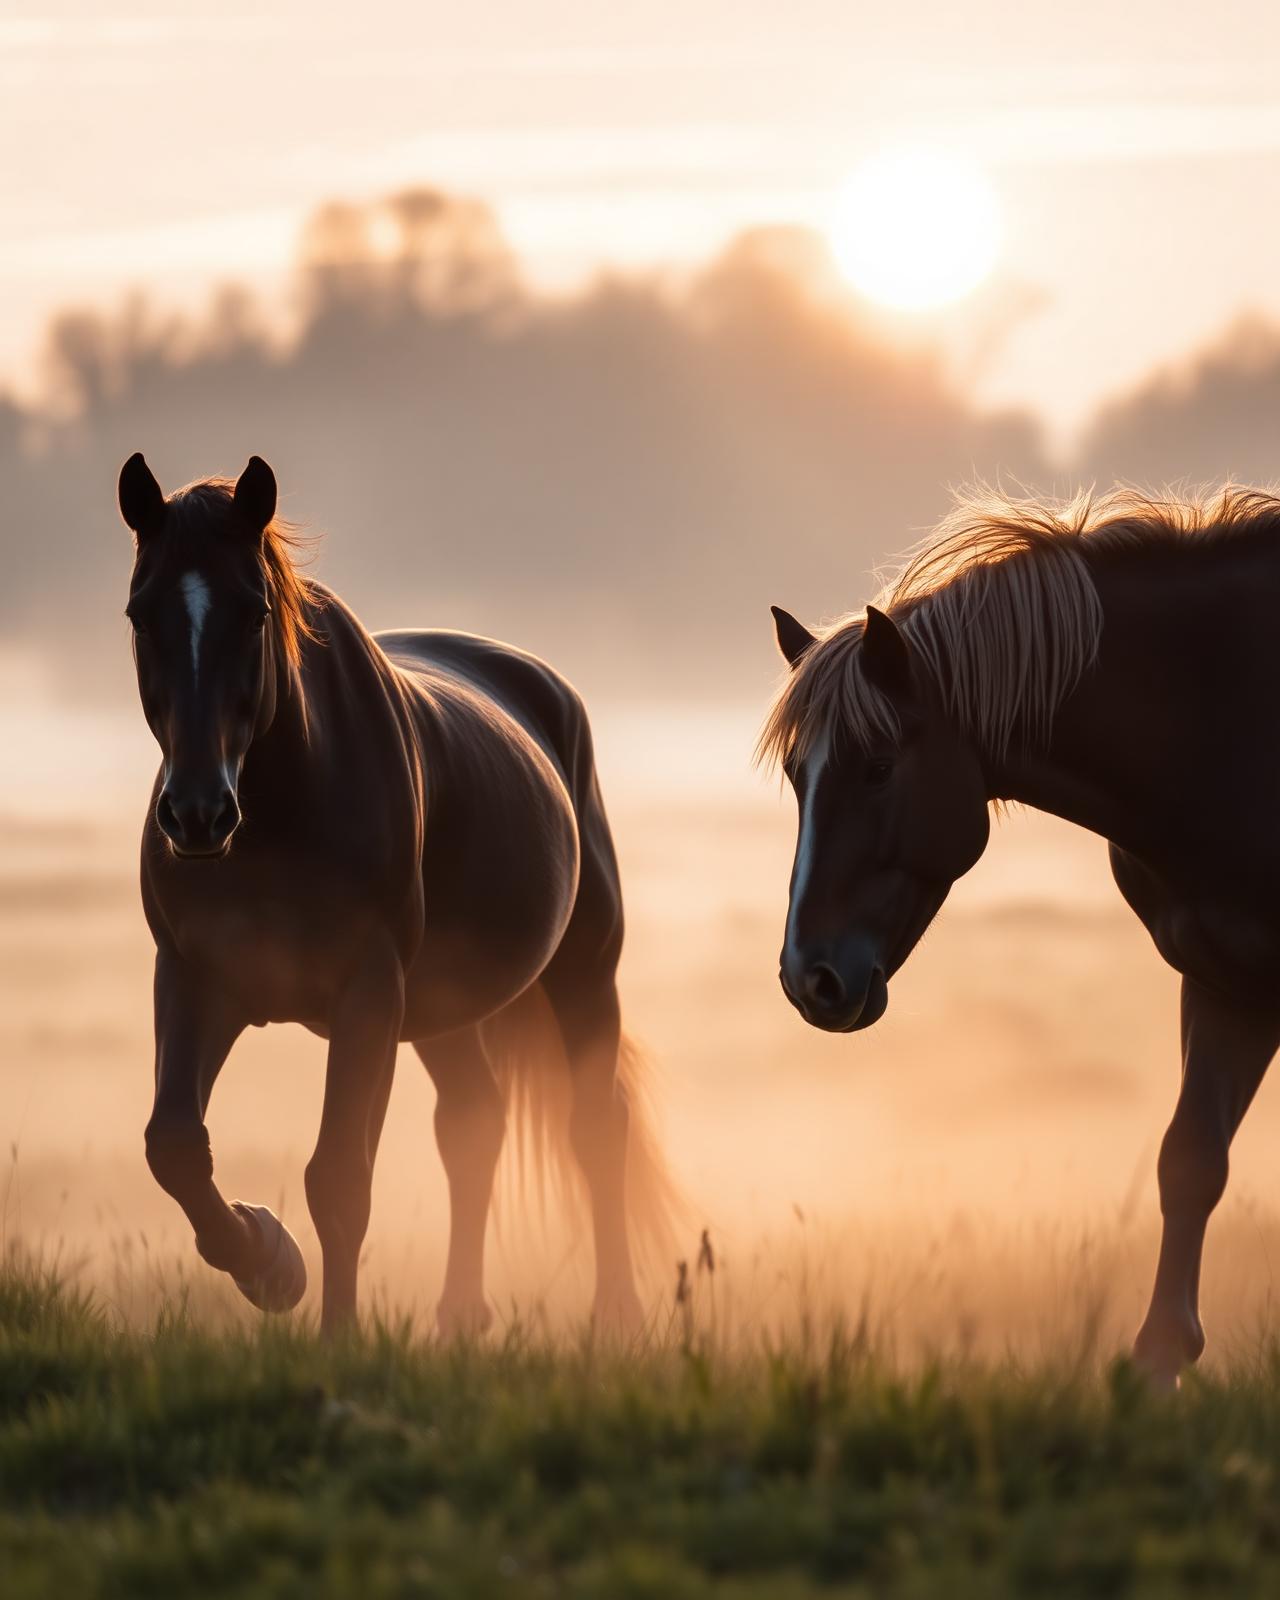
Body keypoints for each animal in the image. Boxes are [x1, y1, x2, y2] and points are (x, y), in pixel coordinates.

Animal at [118, 451, 676, 1335]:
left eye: (253, 614)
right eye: (142, 615)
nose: (198, 813)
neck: (277, 815)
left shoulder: (367, 991)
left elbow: (340, 1176)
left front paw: (335, 1337)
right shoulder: (196, 979)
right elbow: (174, 1145)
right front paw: (268, 1261)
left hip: (583, 973)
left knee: (596, 1126)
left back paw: (614, 1315)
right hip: (442, 1011)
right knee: (473, 1123)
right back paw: (462, 1316)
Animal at [762, 484, 1280, 1385]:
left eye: (878, 766)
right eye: (799, 775)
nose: (808, 978)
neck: (1228, 715)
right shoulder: (1225, 976)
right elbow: (1190, 1161)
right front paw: (1158, 1362)